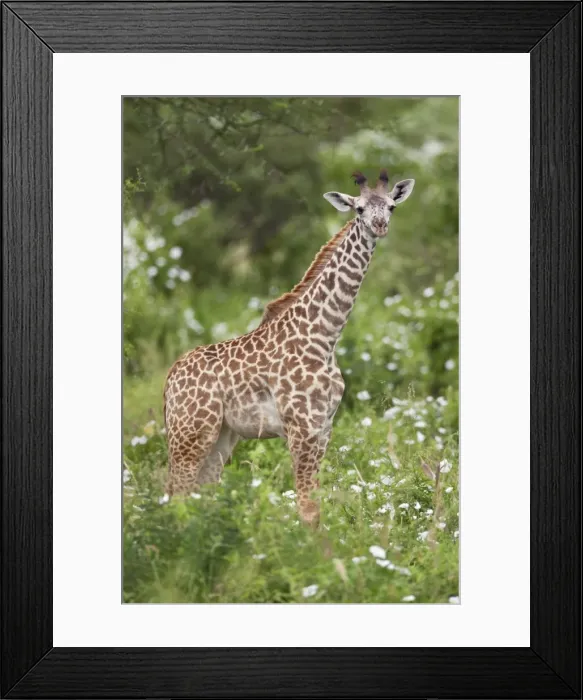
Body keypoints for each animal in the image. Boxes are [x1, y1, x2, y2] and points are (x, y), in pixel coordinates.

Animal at [163, 169, 415, 526]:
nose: (379, 226)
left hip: (221, 436)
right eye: (359, 209)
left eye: (391, 207)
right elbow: (307, 508)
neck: (325, 337)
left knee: (199, 495)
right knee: (176, 495)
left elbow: (315, 504)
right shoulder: (301, 429)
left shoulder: (323, 428)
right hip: (190, 433)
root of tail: (170, 379)